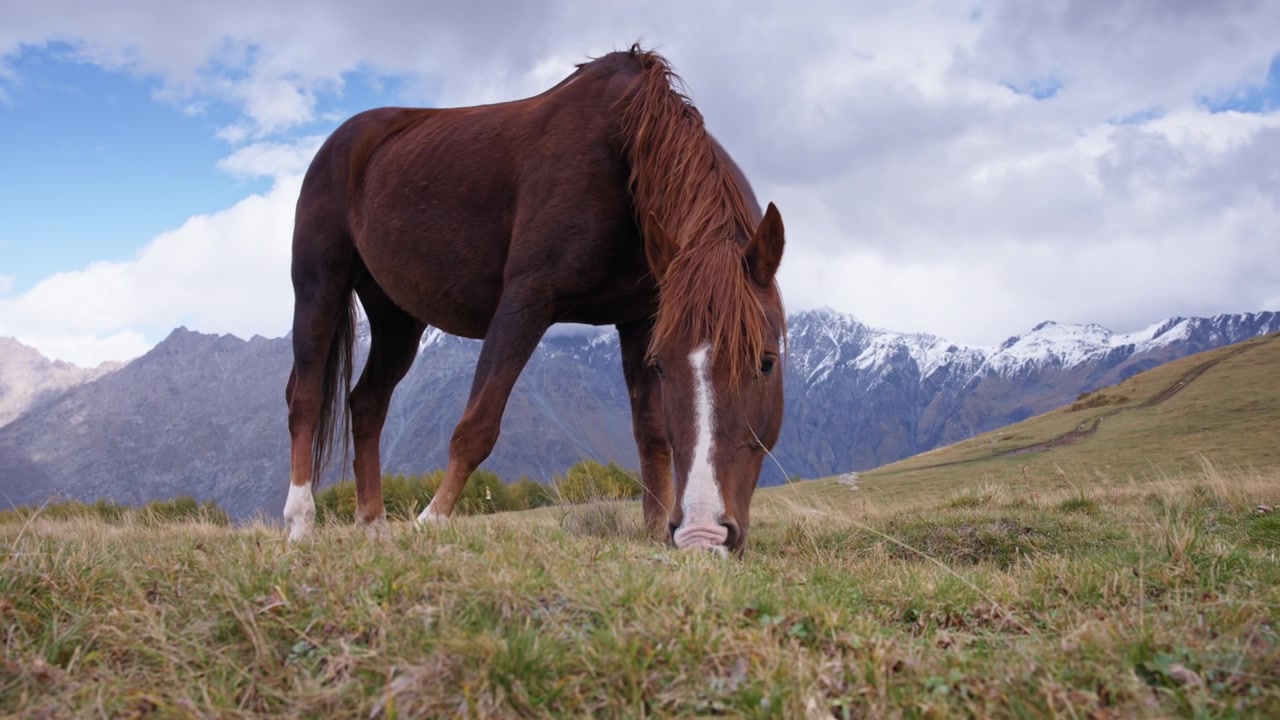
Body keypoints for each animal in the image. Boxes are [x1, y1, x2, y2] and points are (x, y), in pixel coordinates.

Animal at [282, 45, 787, 557]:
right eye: (664, 366)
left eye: (766, 362)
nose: (704, 534)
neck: (624, 153)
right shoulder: (527, 298)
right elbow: (477, 425)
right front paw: (432, 520)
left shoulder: (640, 319)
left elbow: (651, 435)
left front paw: (652, 532)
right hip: (319, 283)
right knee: (305, 397)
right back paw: (301, 522)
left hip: (396, 317)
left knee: (367, 404)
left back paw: (373, 525)